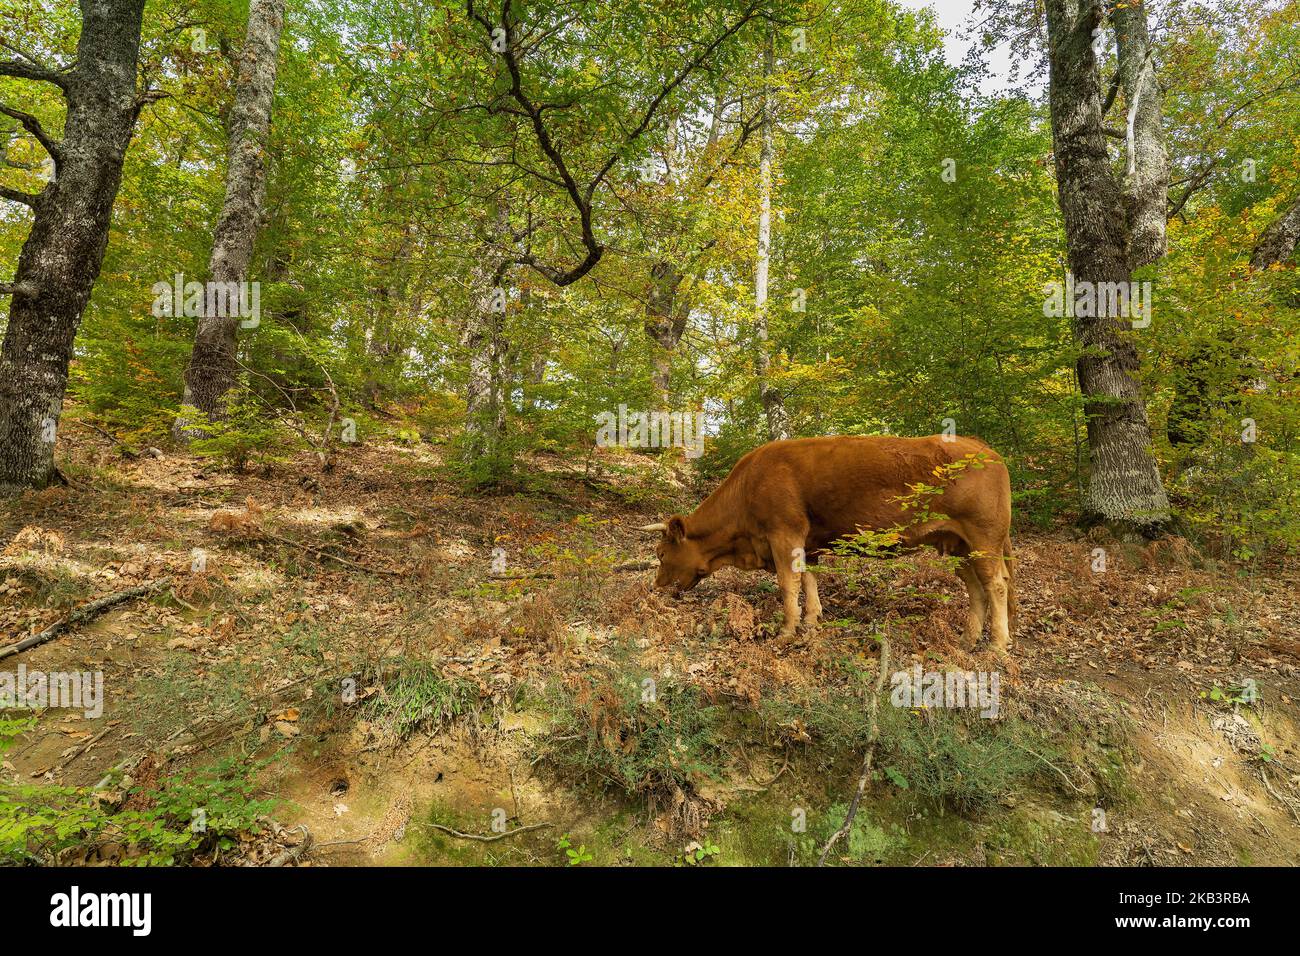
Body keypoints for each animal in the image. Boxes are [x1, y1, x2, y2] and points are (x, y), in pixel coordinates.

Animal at [639, 435, 1017, 656]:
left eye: (661, 554)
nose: (655, 588)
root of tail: (985, 448)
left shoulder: (784, 532)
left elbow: (788, 583)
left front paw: (786, 631)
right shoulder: (807, 542)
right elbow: (809, 578)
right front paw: (811, 620)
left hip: (984, 538)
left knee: (996, 584)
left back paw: (997, 645)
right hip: (959, 546)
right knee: (977, 588)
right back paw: (968, 639)